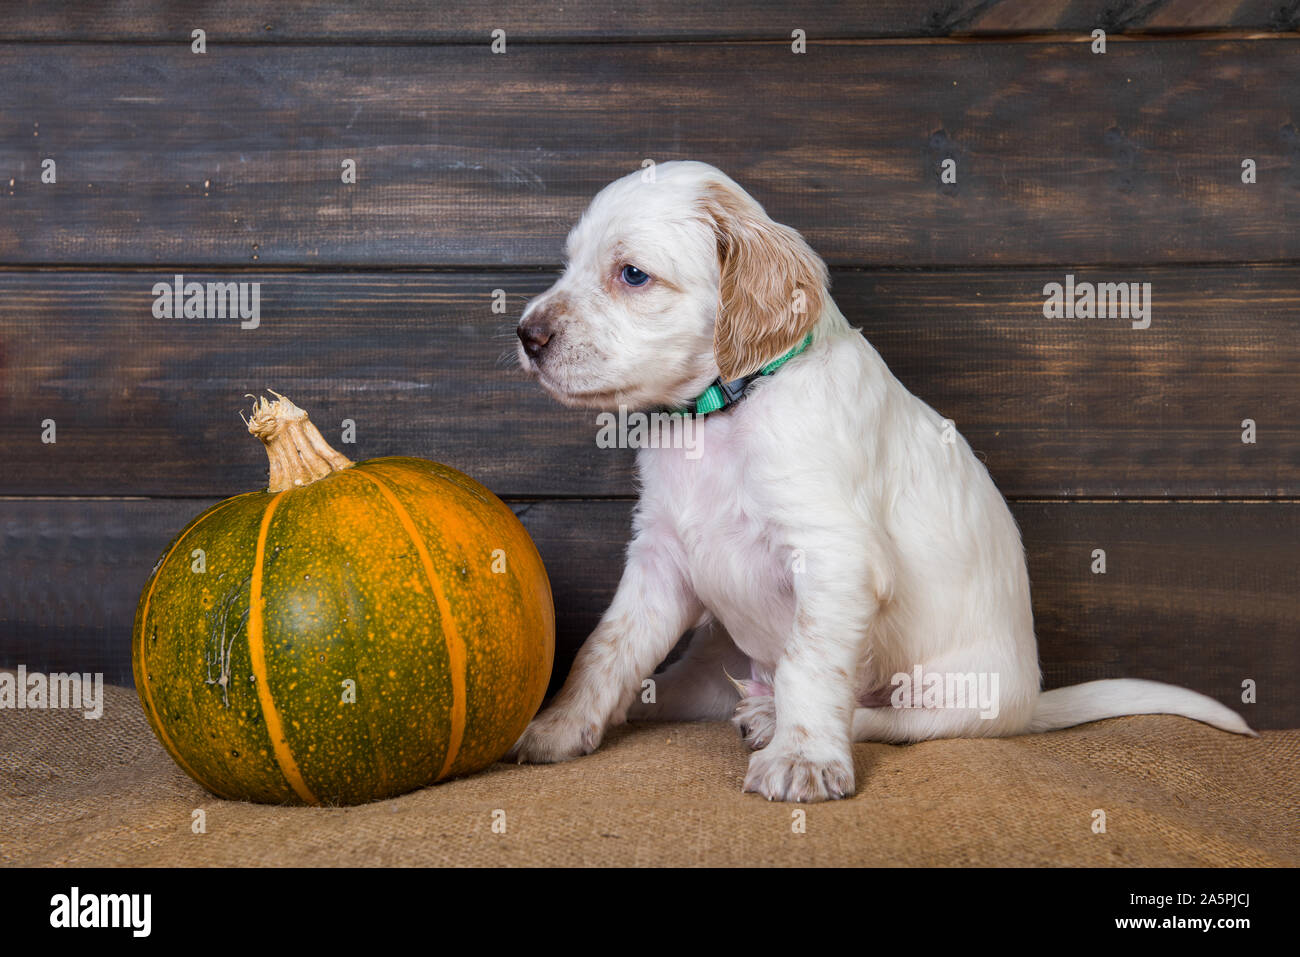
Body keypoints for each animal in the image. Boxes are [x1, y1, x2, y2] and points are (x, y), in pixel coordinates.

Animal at [504, 158, 1248, 800]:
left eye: (632, 275)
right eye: (569, 264)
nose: (526, 335)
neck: (720, 415)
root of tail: (1032, 701)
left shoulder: (834, 555)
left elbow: (810, 665)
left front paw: (803, 757)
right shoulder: (660, 558)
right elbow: (605, 648)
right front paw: (558, 727)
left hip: (954, 695)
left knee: (886, 721)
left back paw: (775, 722)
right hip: (713, 669)